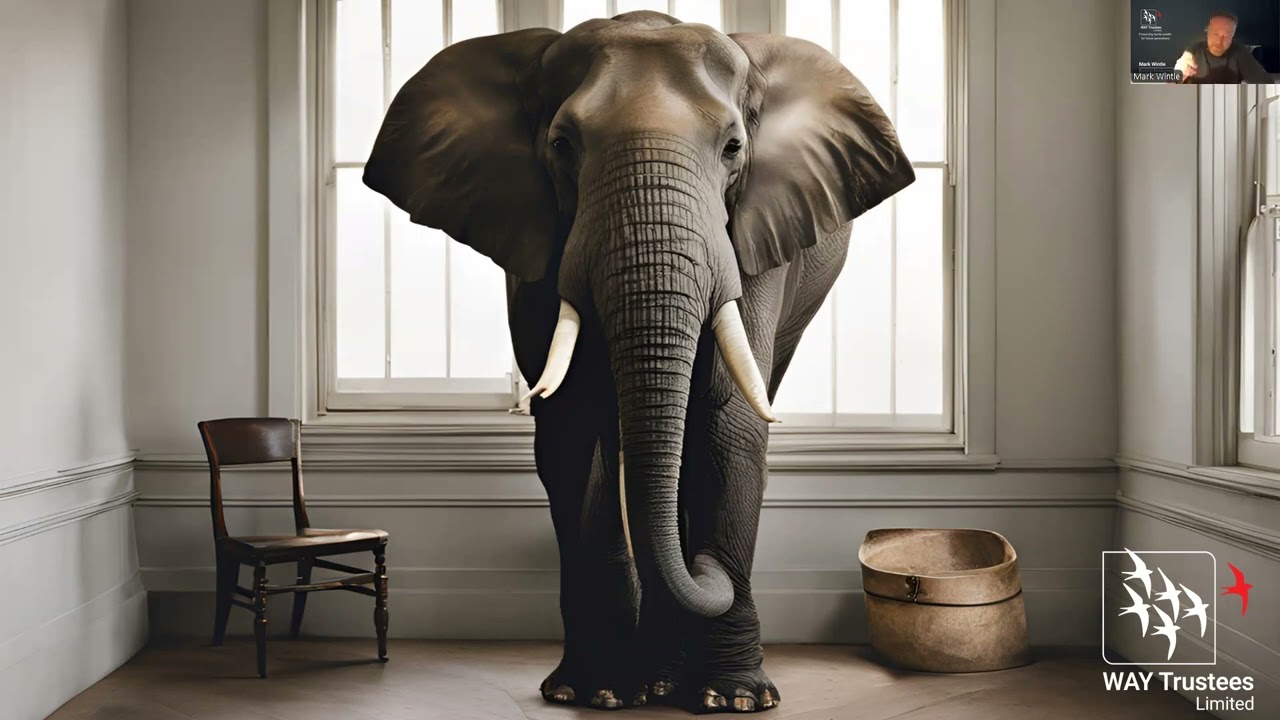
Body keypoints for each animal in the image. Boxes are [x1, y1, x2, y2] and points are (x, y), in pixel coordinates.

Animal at [362, 10, 913, 714]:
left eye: (733, 148)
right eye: (562, 144)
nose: (707, 566)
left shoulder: (752, 237)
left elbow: (725, 417)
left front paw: (734, 698)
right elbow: (571, 426)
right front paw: (594, 688)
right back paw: (652, 677)